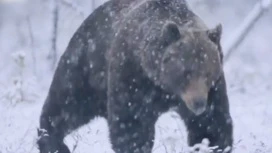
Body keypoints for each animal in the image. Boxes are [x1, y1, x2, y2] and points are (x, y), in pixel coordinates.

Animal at [37, 0, 234, 153]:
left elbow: (211, 124)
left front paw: (211, 145)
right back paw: (52, 142)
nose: (199, 103)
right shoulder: (132, 75)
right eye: (186, 72)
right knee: (66, 104)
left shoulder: (214, 89)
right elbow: (132, 124)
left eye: (208, 73)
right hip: (86, 67)